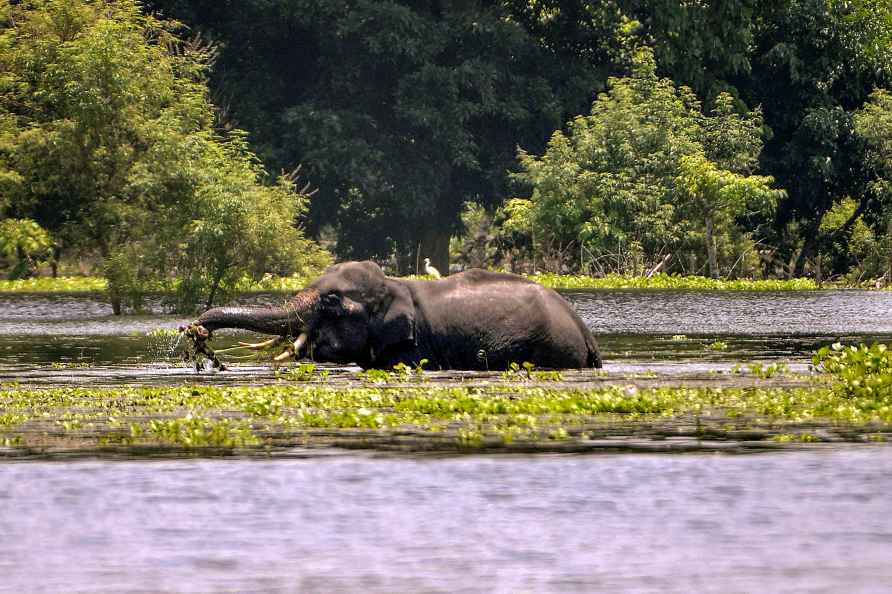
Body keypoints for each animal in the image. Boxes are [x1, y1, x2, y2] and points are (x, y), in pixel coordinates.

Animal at [180, 260, 600, 370]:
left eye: (331, 301)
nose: (195, 330)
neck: (395, 286)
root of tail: (583, 329)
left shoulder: (413, 349)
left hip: (549, 348)